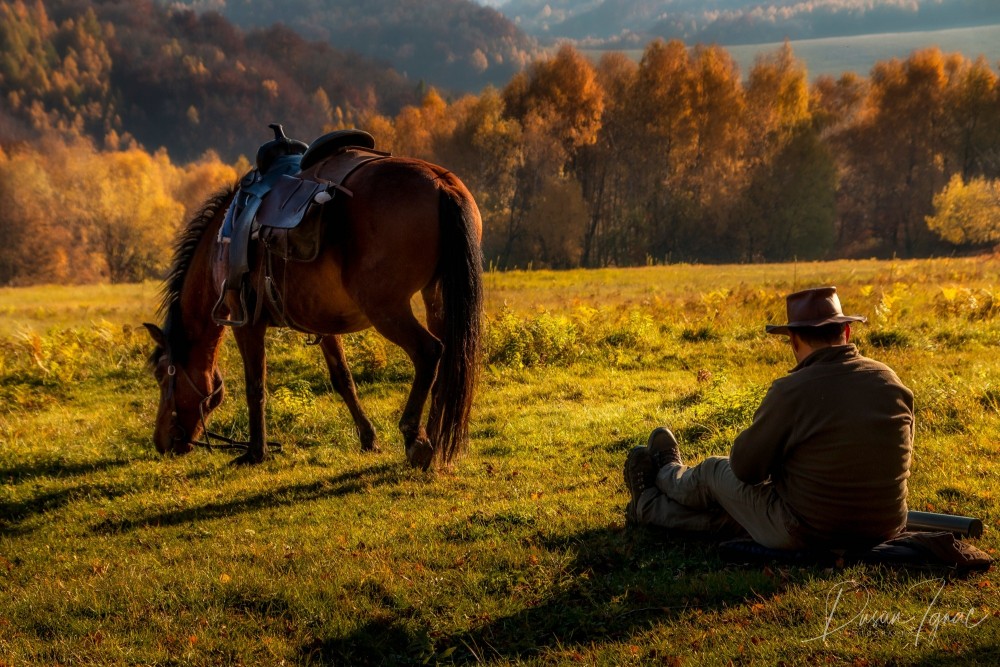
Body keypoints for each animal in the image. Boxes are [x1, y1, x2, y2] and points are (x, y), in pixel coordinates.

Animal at [143, 156, 482, 470]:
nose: (162, 442)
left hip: (387, 309)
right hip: (436, 297)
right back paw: (436, 438)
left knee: (429, 352)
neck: (222, 244)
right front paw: (368, 438)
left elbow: (256, 386)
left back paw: (416, 439)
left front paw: (255, 452)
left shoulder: (246, 324)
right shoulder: (325, 322)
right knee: (450, 358)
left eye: (161, 374)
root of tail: (440, 184)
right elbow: (343, 379)